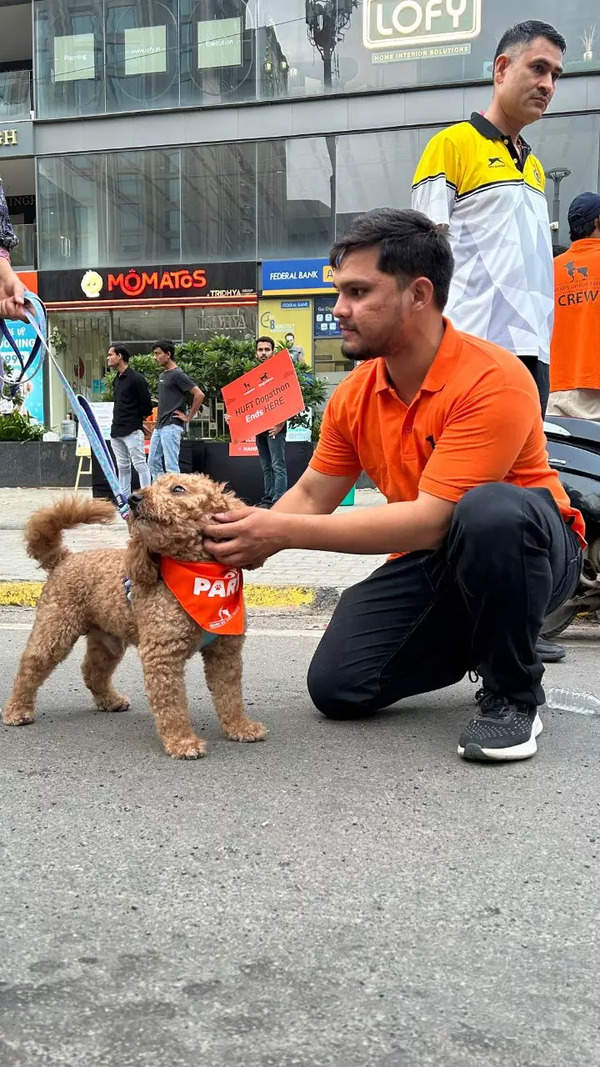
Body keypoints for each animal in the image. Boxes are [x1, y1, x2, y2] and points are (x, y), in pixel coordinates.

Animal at [2, 475, 263, 759]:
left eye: (178, 489)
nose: (133, 498)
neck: (197, 572)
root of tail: (63, 559)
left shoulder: (225, 652)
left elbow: (230, 695)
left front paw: (240, 728)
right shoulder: (162, 656)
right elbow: (172, 706)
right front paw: (182, 742)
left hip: (107, 639)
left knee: (92, 670)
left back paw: (110, 701)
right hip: (55, 628)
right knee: (30, 666)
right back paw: (17, 710)